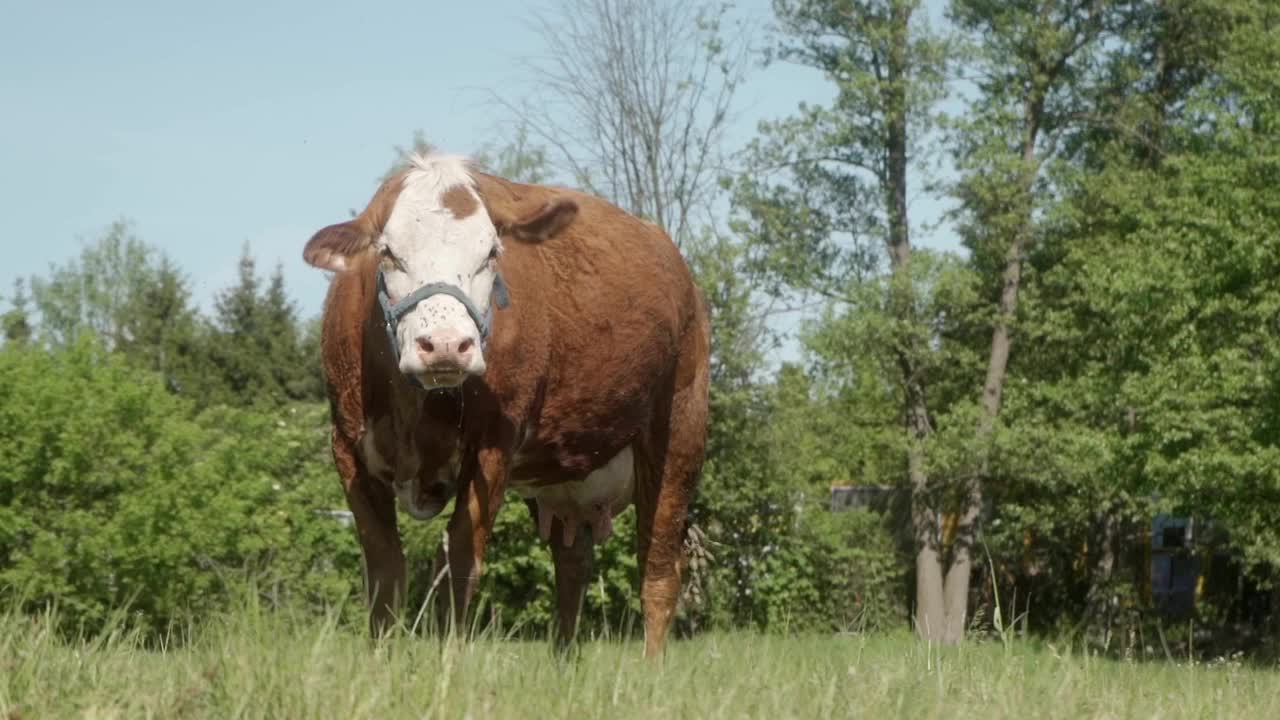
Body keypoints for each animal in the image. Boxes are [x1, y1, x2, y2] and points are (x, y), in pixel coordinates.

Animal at [305, 152, 716, 655]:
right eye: (388, 252)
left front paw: (449, 658)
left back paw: (650, 666)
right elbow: (384, 571)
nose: (446, 345)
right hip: (565, 476)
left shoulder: (494, 445)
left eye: (491, 253)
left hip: (680, 431)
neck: (413, 409)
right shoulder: (347, 447)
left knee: (658, 569)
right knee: (572, 566)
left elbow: (461, 561)